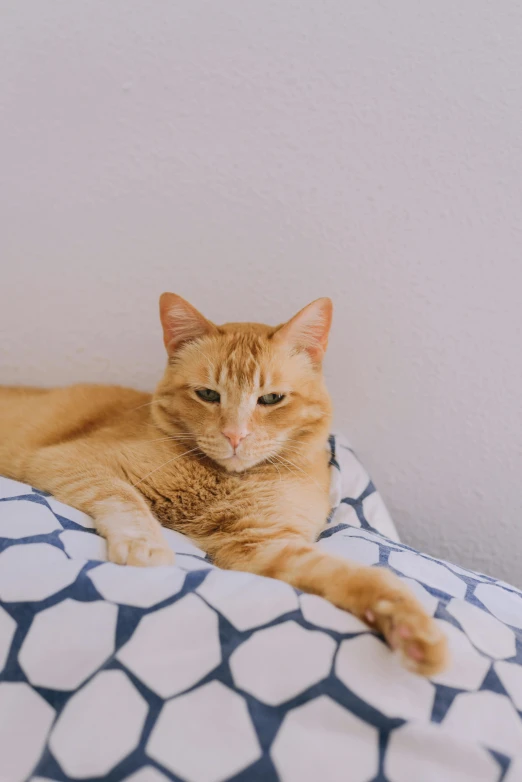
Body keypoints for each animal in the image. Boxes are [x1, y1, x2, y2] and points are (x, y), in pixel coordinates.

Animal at [1, 298, 446, 676]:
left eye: (271, 398)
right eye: (207, 394)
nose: (235, 435)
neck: (224, 482)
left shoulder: (263, 542)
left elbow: (356, 577)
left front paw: (411, 629)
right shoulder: (70, 461)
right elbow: (125, 499)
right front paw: (147, 545)